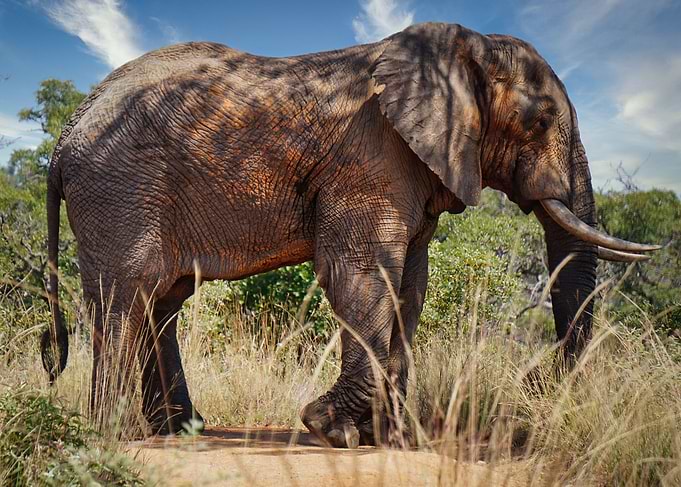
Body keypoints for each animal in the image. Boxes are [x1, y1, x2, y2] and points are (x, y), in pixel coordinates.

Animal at [41, 22, 659, 448]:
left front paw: (392, 437)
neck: (464, 48)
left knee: (162, 301)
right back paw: (117, 433)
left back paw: (183, 430)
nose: (534, 381)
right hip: (120, 188)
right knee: (126, 294)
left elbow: (410, 288)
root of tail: (66, 134)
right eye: (538, 123)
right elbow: (359, 275)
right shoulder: (371, 156)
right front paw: (329, 428)